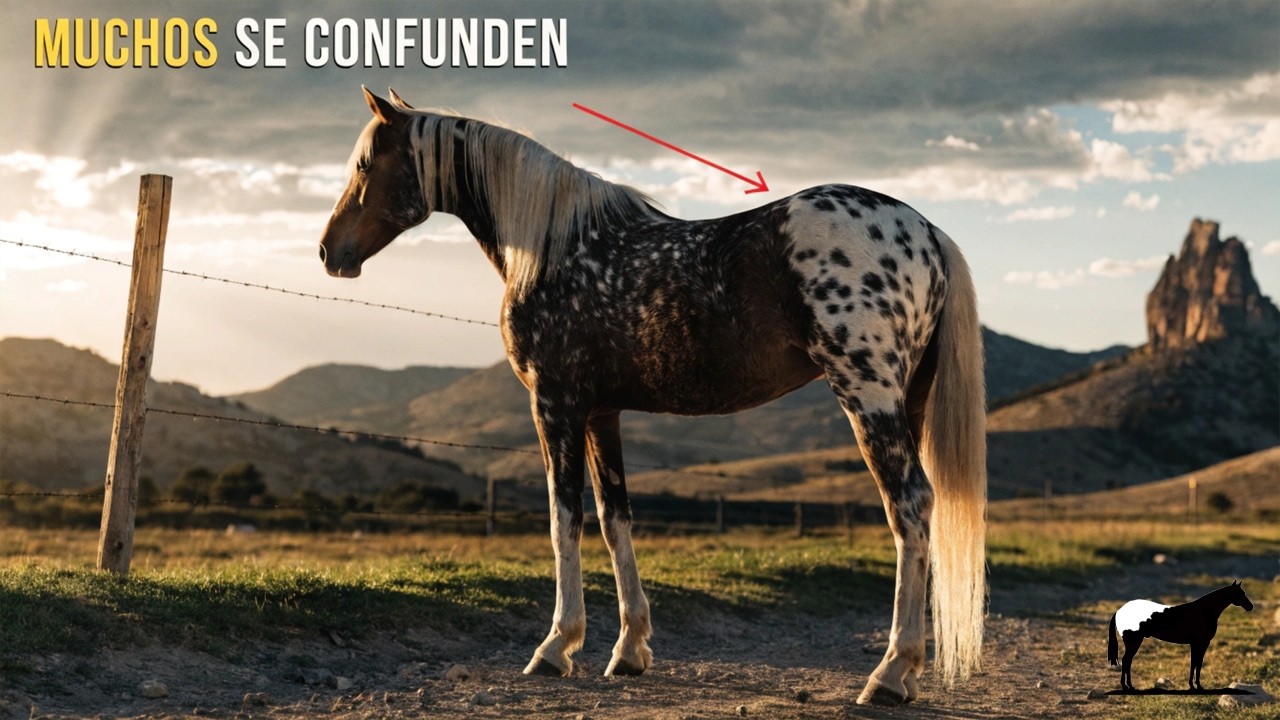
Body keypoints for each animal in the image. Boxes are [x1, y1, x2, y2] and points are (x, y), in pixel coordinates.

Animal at [319, 87, 987, 706]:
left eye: (365, 164)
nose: (329, 251)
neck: (555, 247)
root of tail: (926, 231)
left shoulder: (554, 406)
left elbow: (564, 520)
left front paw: (555, 647)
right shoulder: (602, 414)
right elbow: (615, 519)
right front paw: (629, 649)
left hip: (866, 396)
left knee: (909, 507)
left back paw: (890, 674)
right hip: (907, 402)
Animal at [1108, 581, 1253, 691]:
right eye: (1240, 594)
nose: (1250, 607)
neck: (1205, 611)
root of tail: (1119, 611)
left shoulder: (1196, 644)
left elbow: (1194, 663)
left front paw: (1193, 685)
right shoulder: (1201, 643)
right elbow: (1197, 663)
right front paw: (1197, 686)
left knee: (1128, 661)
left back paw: (1129, 686)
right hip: (1134, 642)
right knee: (1126, 660)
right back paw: (1127, 686)